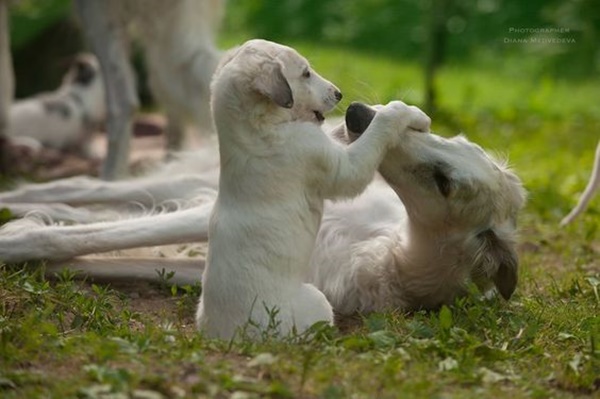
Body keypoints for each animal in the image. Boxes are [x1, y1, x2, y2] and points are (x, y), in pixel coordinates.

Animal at [199, 39, 434, 340]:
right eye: (306, 74)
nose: (339, 94)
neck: (253, 131)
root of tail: (227, 336)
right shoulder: (334, 163)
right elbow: (377, 132)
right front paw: (405, 112)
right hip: (316, 301)